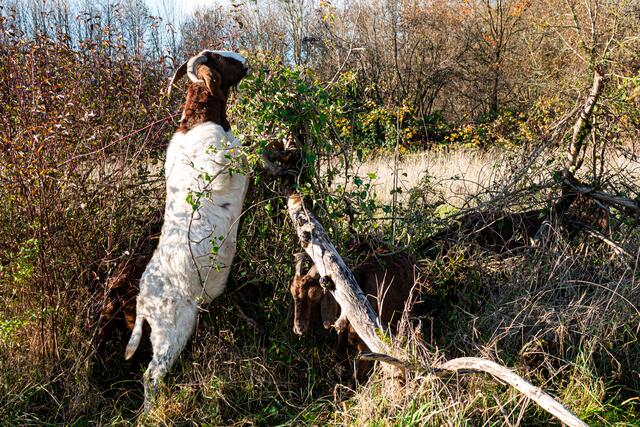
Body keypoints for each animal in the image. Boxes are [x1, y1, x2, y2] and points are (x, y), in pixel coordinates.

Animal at [124, 50, 249, 409]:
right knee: (151, 374)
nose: (244, 60)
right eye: (220, 58)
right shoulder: (223, 166)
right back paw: (150, 413)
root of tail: (143, 303)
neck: (199, 120)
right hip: (172, 329)